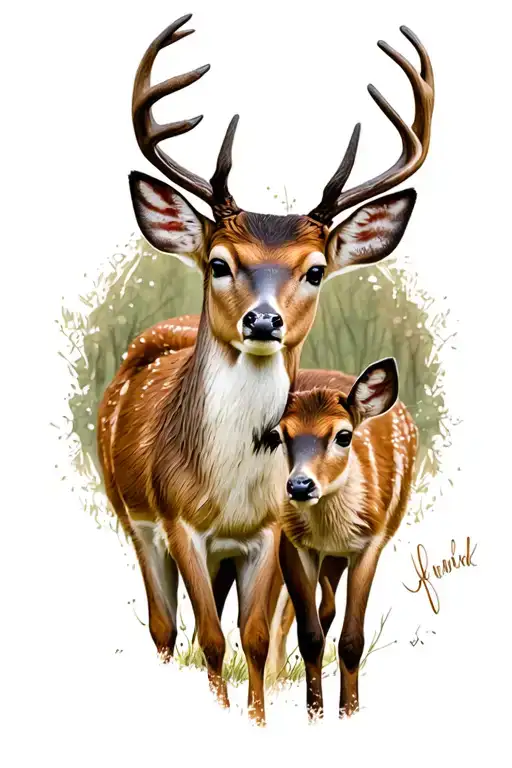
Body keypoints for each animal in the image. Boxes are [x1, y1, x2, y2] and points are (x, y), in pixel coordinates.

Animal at [97, 12, 433, 725]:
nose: (262, 321)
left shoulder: (268, 537)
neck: (227, 491)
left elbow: (250, 635)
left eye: (316, 270)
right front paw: (223, 716)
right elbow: (211, 636)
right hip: (132, 517)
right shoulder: (179, 522)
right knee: (165, 629)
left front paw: (255, 719)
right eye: (219, 261)